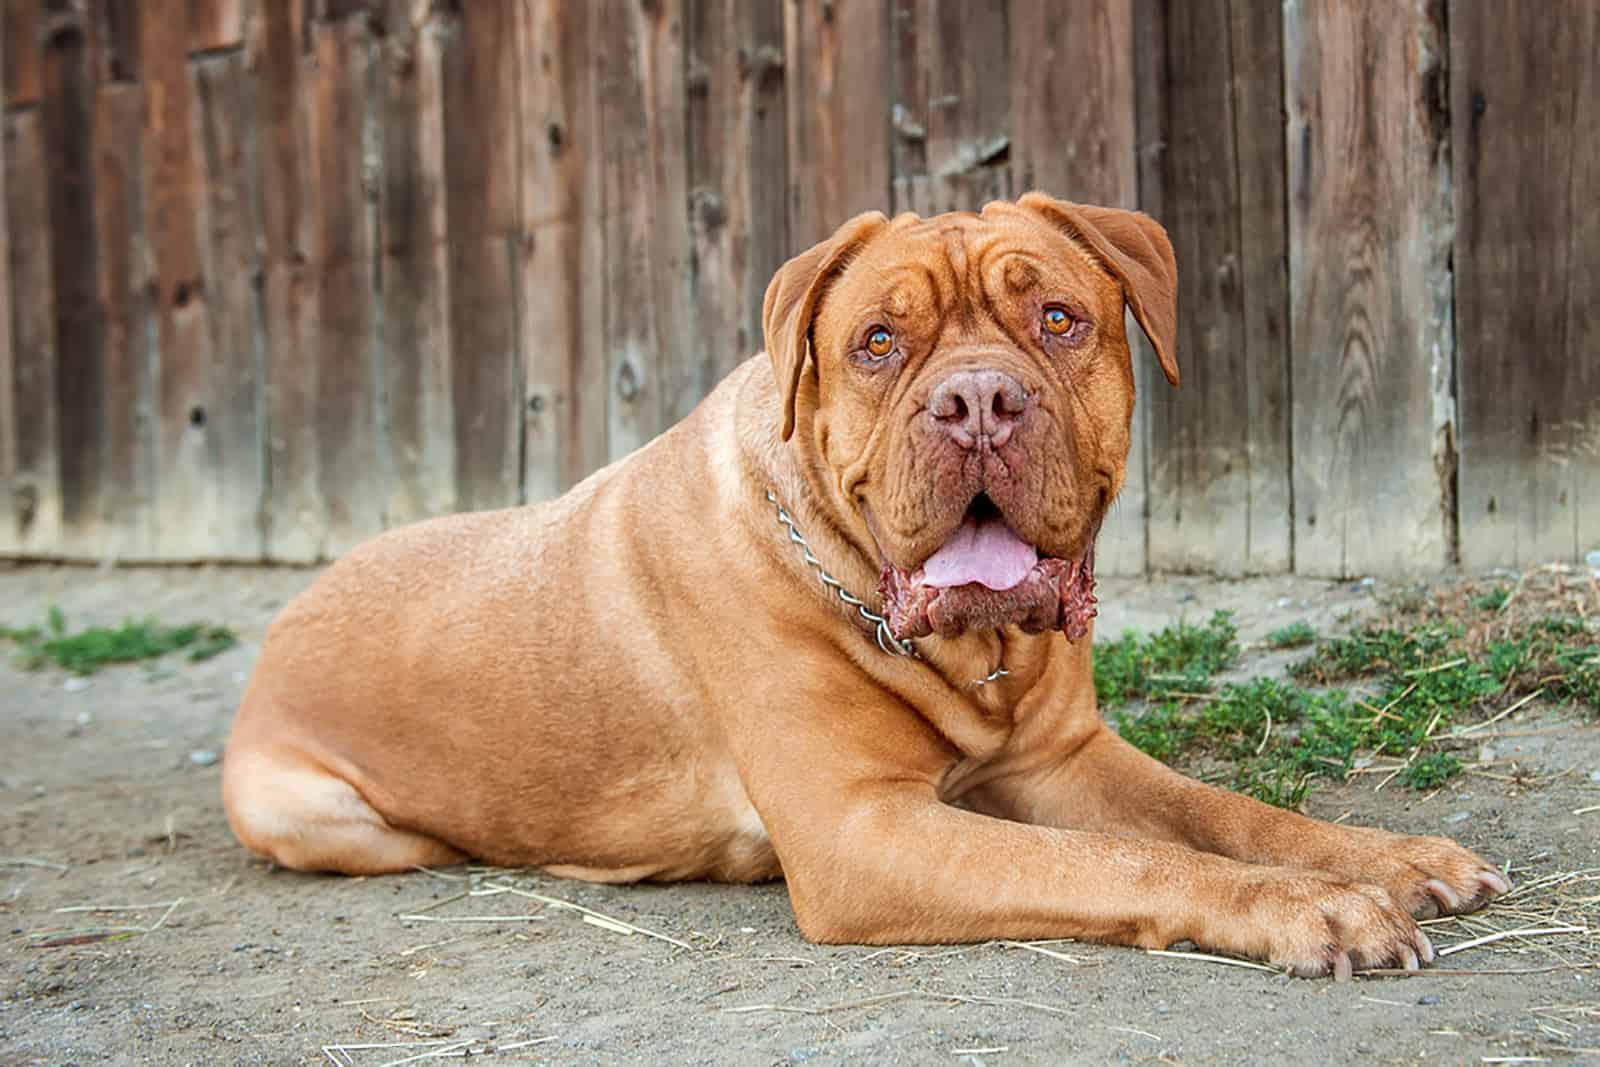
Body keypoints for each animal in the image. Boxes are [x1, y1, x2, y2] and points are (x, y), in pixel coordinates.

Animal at [222, 191, 1497, 979]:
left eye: (1057, 317)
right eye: (879, 343)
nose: (978, 399)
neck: (968, 651)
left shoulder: (1063, 759)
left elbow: (1221, 810)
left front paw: (1388, 856)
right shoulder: (863, 830)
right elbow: (1128, 858)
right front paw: (1305, 904)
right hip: (326, 819)